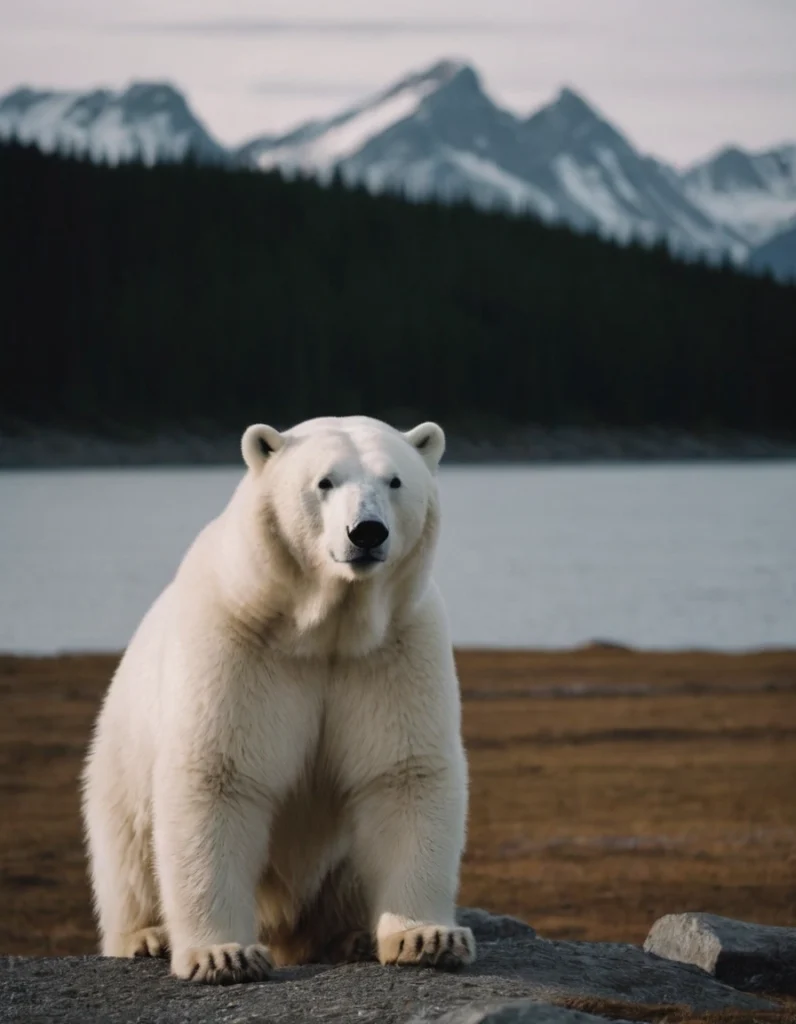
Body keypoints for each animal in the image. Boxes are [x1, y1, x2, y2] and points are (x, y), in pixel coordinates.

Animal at [82, 415, 471, 983]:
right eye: (324, 481)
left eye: (395, 481)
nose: (367, 532)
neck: (324, 631)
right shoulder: (237, 641)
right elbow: (218, 776)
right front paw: (224, 954)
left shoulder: (394, 647)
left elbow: (403, 772)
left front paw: (426, 937)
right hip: (118, 761)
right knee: (128, 850)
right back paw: (146, 936)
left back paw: (349, 936)